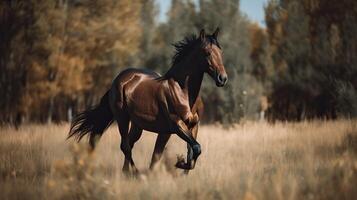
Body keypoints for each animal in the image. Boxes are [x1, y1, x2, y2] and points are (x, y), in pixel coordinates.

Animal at [68, 27, 227, 173]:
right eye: (207, 52)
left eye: (221, 52)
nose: (222, 78)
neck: (184, 93)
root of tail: (118, 80)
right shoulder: (176, 125)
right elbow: (194, 148)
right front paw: (179, 163)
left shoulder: (191, 126)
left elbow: (190, 153)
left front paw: (181, 165)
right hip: (122, 118)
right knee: (125, 146)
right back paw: (135, 173)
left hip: (137, 125)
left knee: (129, 144)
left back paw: (126, 172)